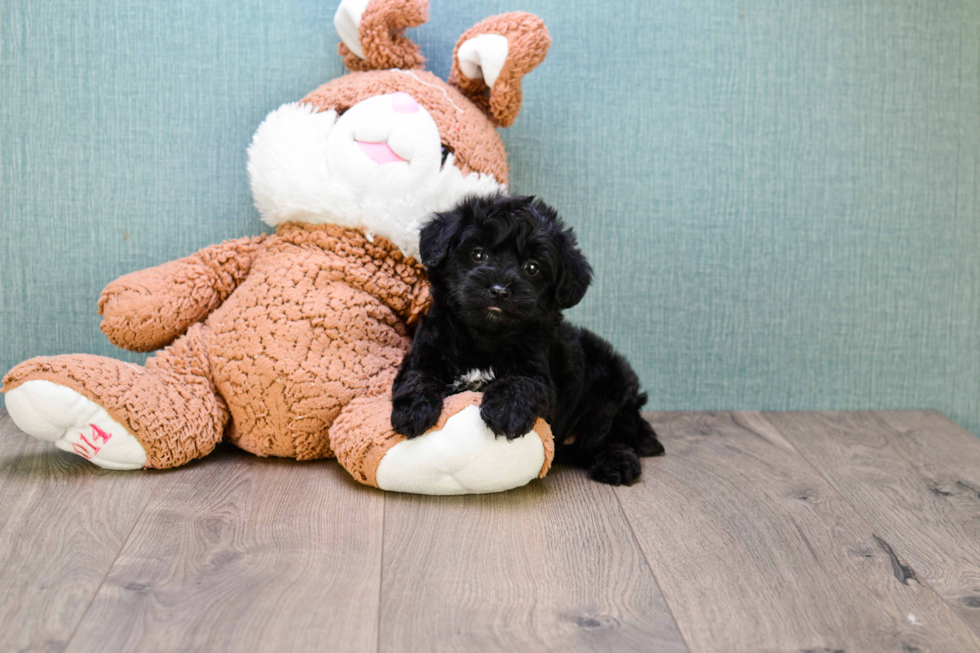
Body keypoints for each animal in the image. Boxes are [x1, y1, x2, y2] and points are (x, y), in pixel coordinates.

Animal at [390, 194, 668, 484]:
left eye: (532, 268)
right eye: (478, 254)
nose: (500, 290)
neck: (485, 336)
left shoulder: (540, 372)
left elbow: (523, 382)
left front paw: (506, 412)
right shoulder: (425, 351)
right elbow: (416, 376)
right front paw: (413, 411)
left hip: (611, 384)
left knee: (614, 432)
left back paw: (617, 462)